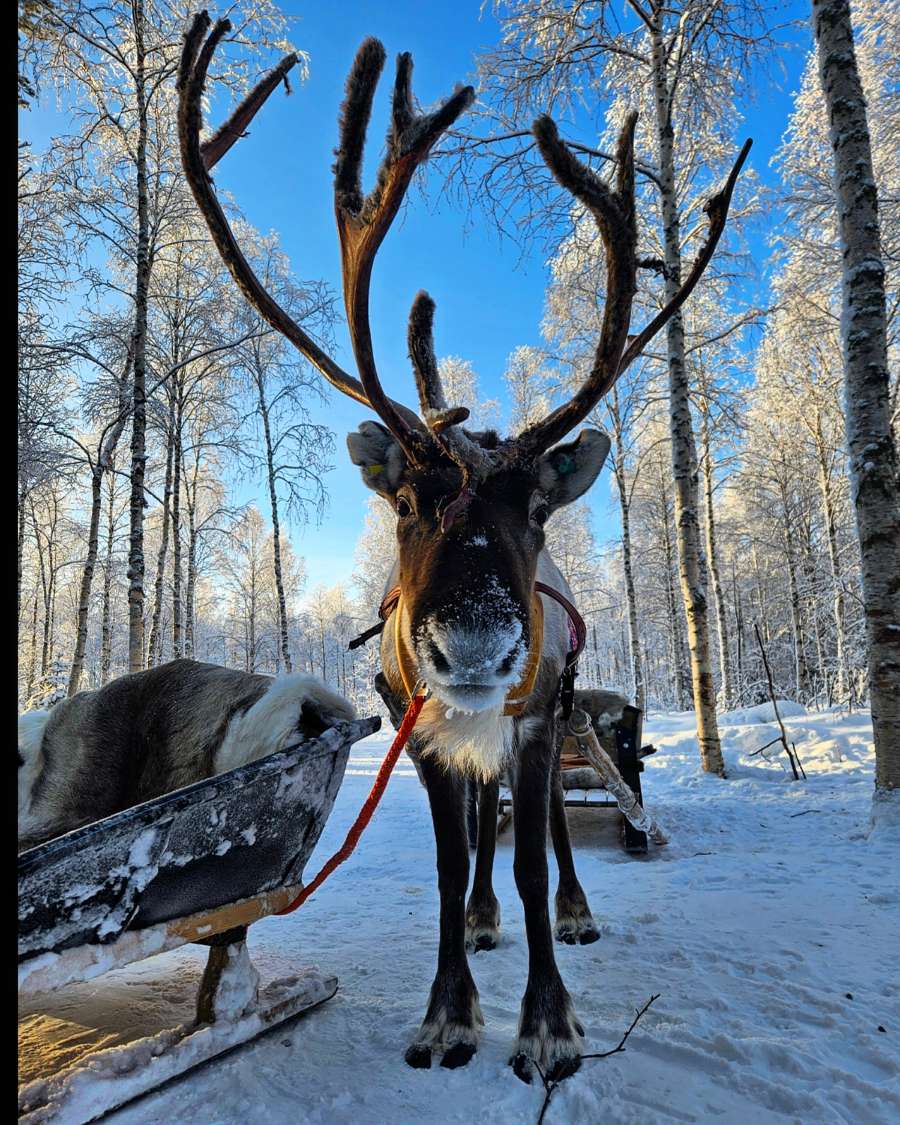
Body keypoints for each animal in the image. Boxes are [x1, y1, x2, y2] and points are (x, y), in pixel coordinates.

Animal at [178, 12, 749, 1082]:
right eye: (406, 499)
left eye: (539, 512)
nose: (477, 647)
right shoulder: (425, 730)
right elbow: (451, 864)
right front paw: (450, 1010)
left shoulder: (532, 723)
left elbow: (530, 851)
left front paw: (548, 1021)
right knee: (484, 834)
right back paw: (485, 922)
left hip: (554, 712)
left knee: (546, 829)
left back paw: (571, 909)